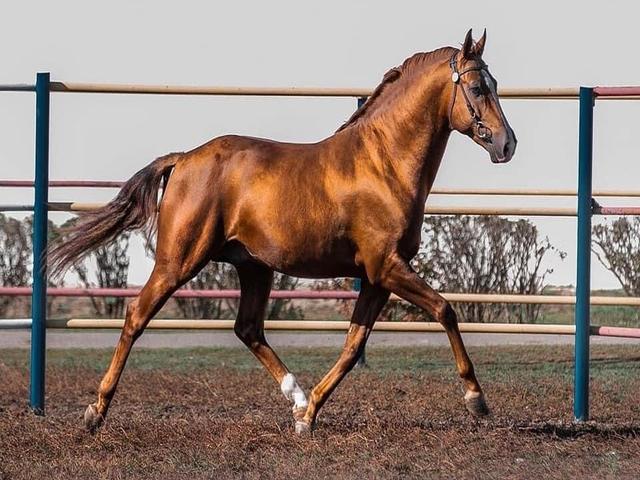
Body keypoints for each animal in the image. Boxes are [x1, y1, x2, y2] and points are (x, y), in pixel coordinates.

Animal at [49, 29, 516, 435]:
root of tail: (183, 159)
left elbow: (352, 346)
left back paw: (296, 397)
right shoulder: (387, 267)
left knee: (248, 329)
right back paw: (95, 412)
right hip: (177, 262)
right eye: (478, 88)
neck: (383, 163)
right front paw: (476, 400)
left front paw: (308, 415)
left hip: (254, 268)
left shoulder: (376, 277)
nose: (506, 144)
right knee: (136, 316)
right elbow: (445, 310)